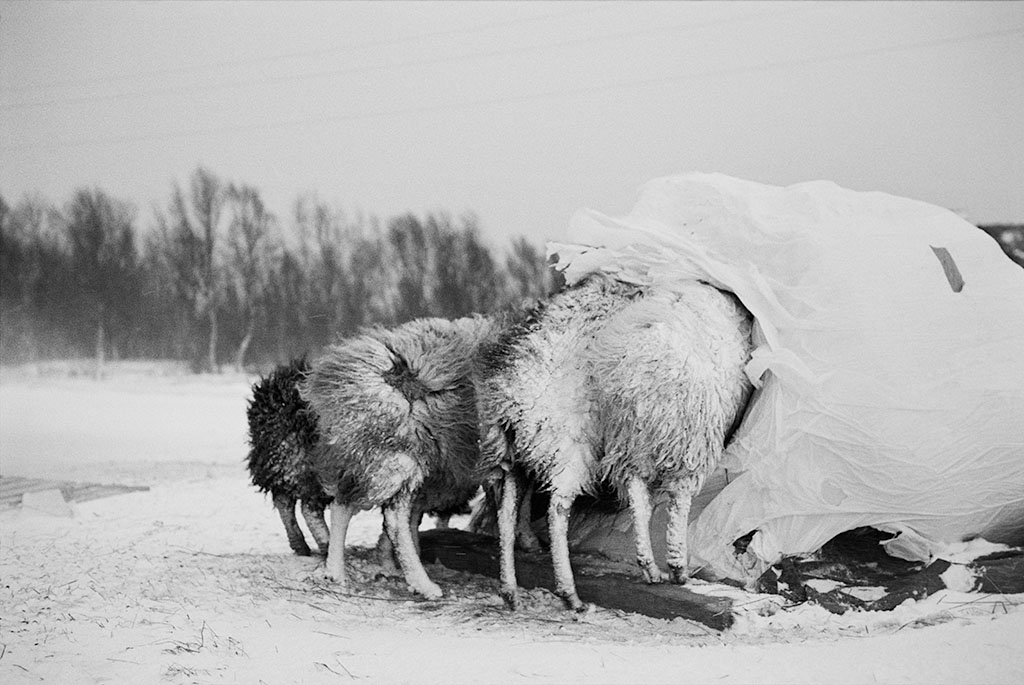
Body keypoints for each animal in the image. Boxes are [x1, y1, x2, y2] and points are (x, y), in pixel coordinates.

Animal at [245, 358, 329, 557]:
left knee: (284, 501)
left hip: (277, 463)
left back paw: (300, 545)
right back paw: (328, 546)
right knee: (309, 508)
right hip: (311, 467)